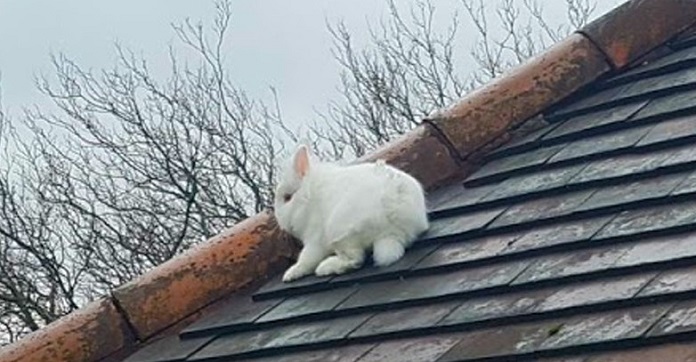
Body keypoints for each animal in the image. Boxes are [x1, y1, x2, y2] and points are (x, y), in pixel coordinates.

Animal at [274, 144, 426, 282]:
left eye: (287, 197)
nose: (280, 220)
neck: (309, 196)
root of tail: (394, 229)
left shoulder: (314, 239)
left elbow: (306, 258)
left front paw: (289, 275)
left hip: (340, 233)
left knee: (355, 260)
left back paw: (324, 267)